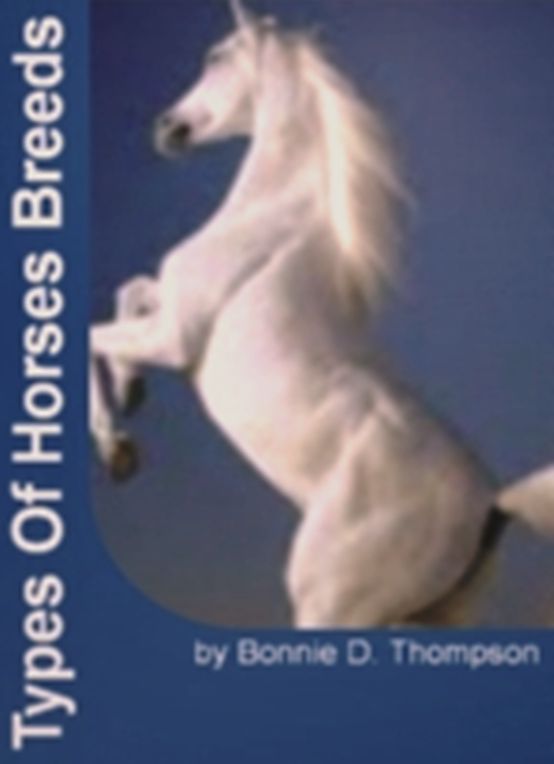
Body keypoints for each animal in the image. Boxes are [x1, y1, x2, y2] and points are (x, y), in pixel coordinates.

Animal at [90, 0, 554, 627]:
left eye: (216, 56)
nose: (166, 128)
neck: (272, 221)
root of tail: (491, 504)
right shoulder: (163, 315)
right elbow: (131, 291)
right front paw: (131, 392)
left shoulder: (173, 338)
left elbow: (94, 335)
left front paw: (117, 450)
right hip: (429, 617)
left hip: (327, 606)